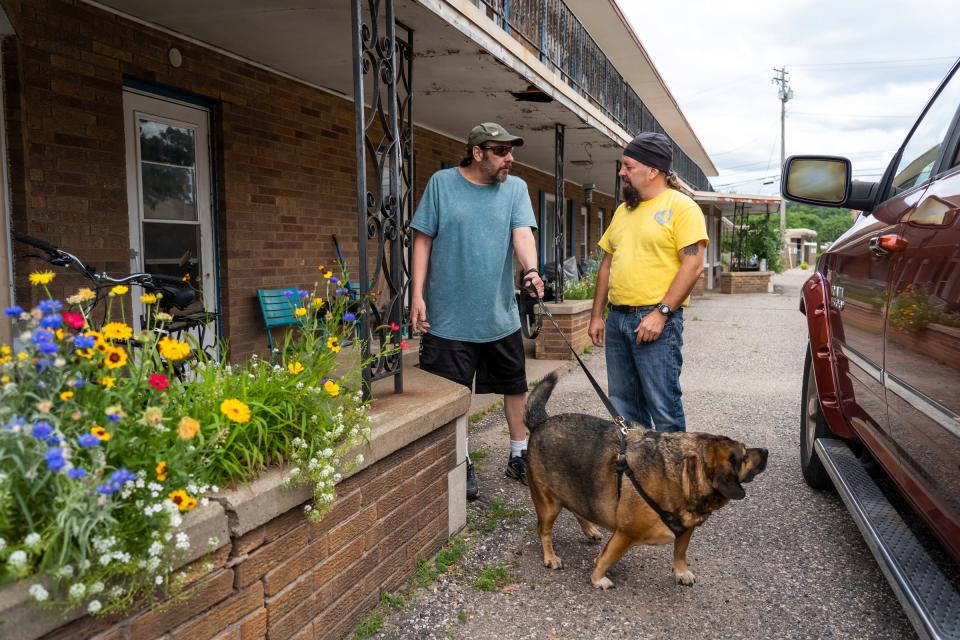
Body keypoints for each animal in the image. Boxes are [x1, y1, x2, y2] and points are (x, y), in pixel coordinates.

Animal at [520, 376, 768, 592]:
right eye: (745, 456)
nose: (766, 451)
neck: (682, 474)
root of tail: (541, 421)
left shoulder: (686, 529)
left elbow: (680, 552)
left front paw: (681, 571)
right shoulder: (625, 534)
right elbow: (607, 557)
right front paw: (598, 578)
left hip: (576, 488)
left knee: (577, 509)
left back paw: (590, 529)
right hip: (548, 504)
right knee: (544, 530)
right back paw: (550, 556)